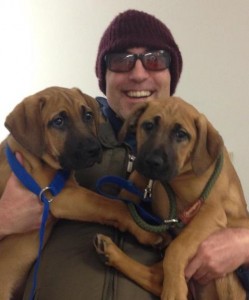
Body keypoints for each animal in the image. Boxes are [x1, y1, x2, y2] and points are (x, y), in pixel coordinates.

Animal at [0, 85, 161, 298]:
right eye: (58, 121)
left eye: (88, 116)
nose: (94, 149)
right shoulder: (60, 196)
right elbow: (114, 205)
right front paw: (145, 231)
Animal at [94, 96, 248, 300]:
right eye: (148, 125)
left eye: (181, 134)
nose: (153, 162)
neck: (178, 179)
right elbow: (133, 184)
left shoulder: (211, 212)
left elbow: (177, 249)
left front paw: (174, 290)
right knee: (153, 275)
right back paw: (110, 252)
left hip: (226, 276)